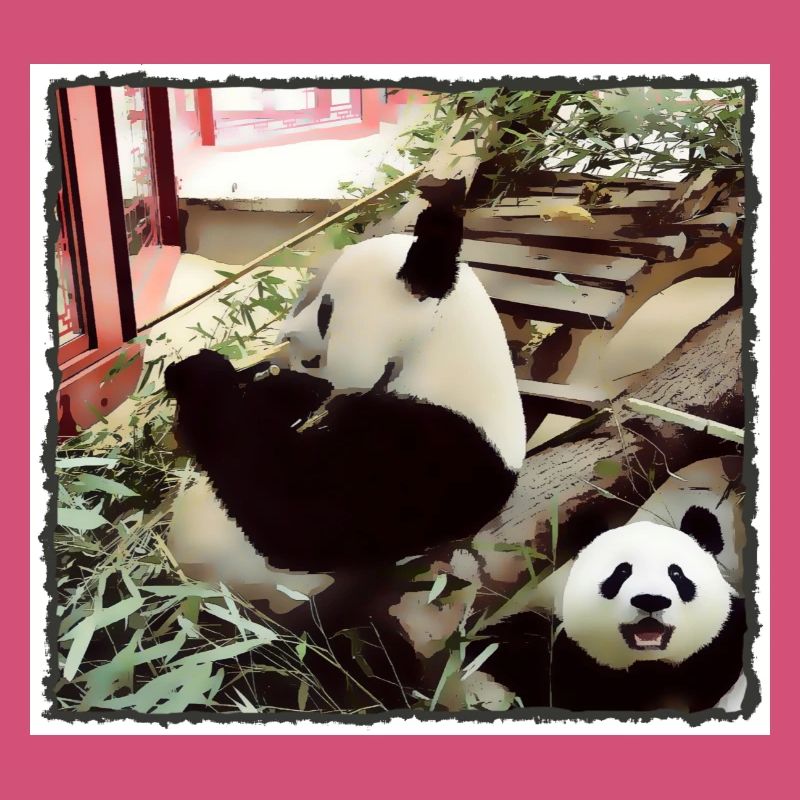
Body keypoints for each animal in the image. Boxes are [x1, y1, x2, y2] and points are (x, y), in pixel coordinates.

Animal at [164, 204, 526, 637]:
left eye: (325, 312)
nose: (286, 336)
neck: (438, 348)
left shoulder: (433, 452)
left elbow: (294, 516)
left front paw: (197, 373)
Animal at [481, 511, 747, 714]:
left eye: (676, 573)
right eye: (621, 572)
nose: (651, 600)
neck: (649, 666)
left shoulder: (720, 642)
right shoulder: (569, 660)